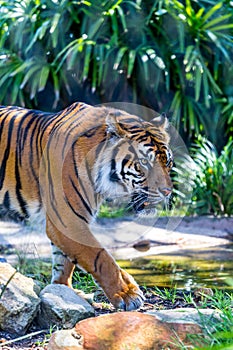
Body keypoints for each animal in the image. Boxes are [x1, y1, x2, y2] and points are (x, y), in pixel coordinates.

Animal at [0, 102, 173, 310]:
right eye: (144, 163)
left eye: (168, 162)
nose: (167, 191)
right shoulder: (68, 220)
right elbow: (101, 257)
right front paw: (127, 294)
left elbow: (63, 261)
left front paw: (64, 290)